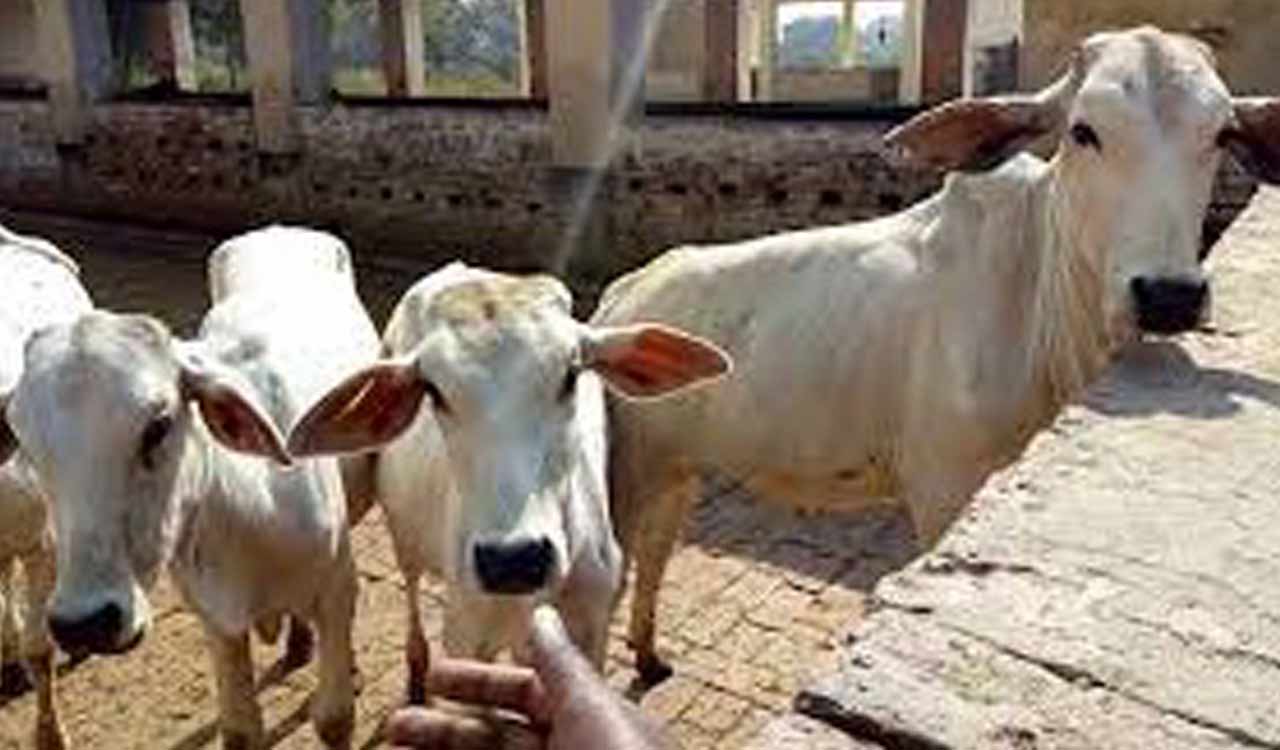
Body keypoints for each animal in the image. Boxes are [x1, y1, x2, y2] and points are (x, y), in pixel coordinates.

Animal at [0, 226, 382, 749]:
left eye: (158, 426)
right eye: (24, 440)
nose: (86, 624)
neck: (251, 512)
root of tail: (280, 229)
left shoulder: (337, 590)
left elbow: (334, 717)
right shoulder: (217, 620)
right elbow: (239, 732)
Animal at [286, 263, 730, 702]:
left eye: (571, 374)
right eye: (433, 391)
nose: (513, 560)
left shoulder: (591, 630)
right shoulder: (465, 636)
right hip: (403, 535)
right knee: (411, 587)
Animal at [588, 26, 1280, 684]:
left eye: (1222, 133)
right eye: (1084, 131)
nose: (1169, 296)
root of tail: (623, 294)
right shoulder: (943, 487)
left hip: (678, 468)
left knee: (655, 554)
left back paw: (648, 653)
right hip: (630, 473)